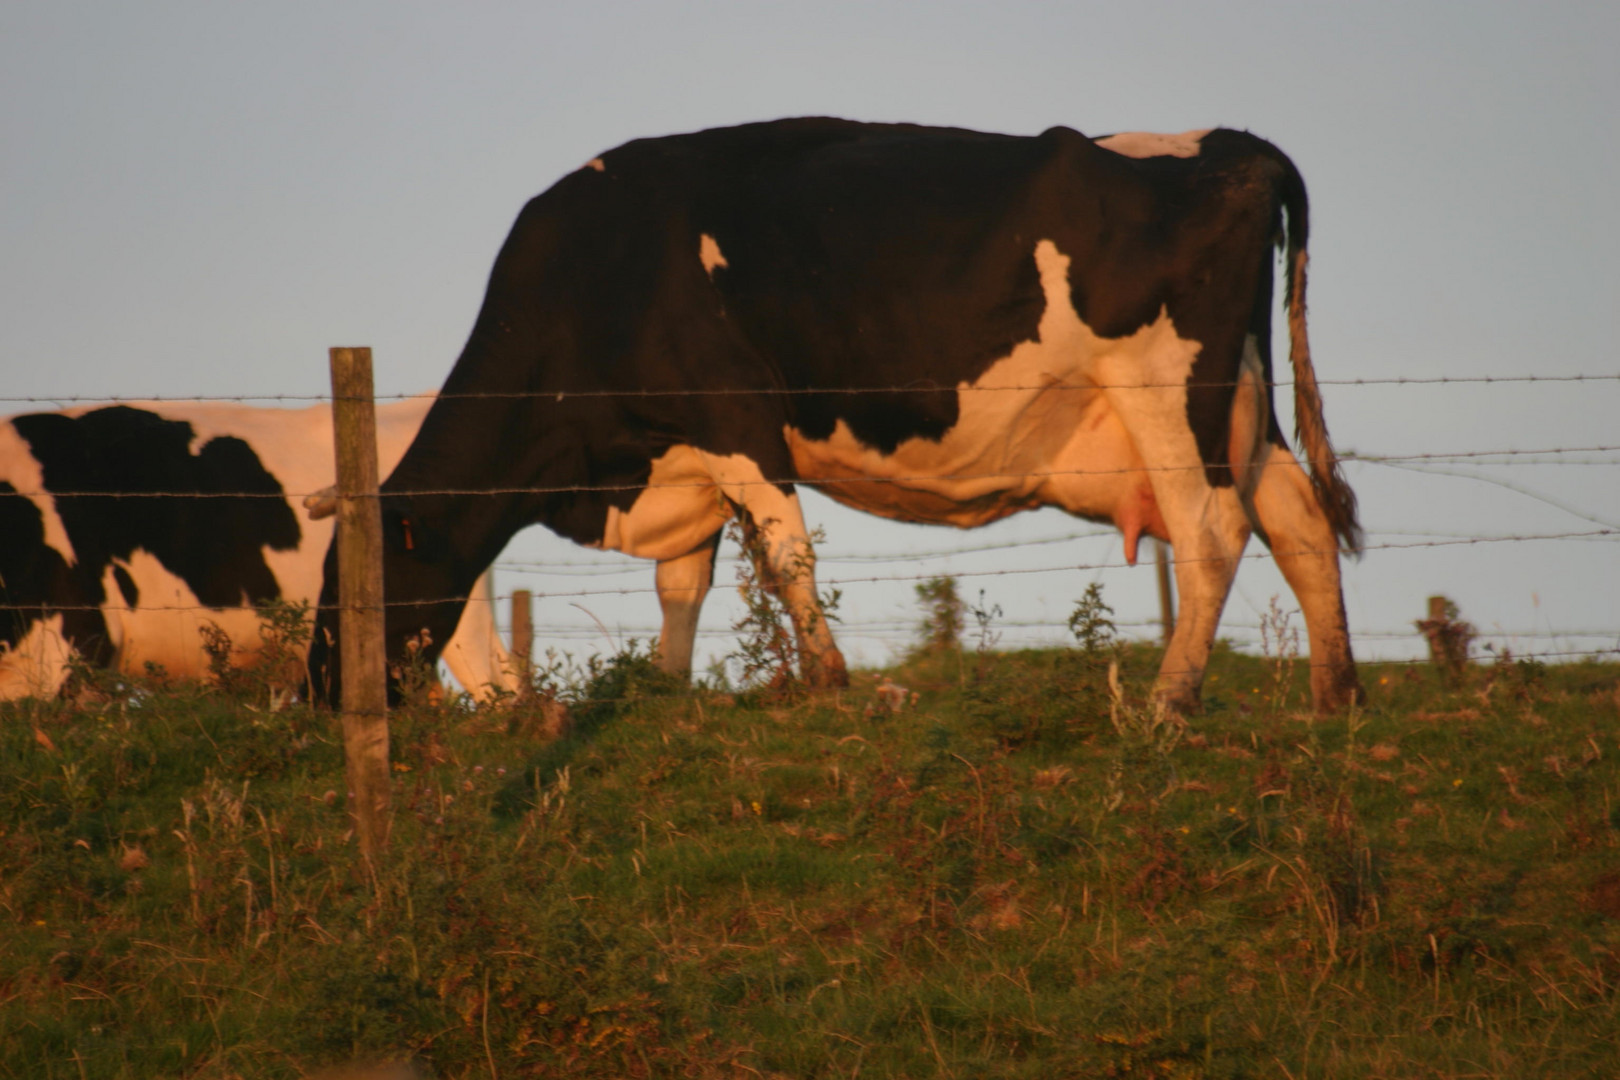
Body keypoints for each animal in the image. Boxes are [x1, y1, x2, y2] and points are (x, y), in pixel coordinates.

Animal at [309, 116, 1360, 718]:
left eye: (350, 587)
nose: (318, 692)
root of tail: (1234, 143)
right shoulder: (683, 448)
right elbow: (684, 583)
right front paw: (668, 689)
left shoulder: (731, 412)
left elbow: (786, 555)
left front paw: (826, 678)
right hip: (1245, 405)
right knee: (1299, 518)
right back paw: (1334, 694)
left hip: (1167, 392)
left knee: (1213, 529)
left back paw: (1169, 702)